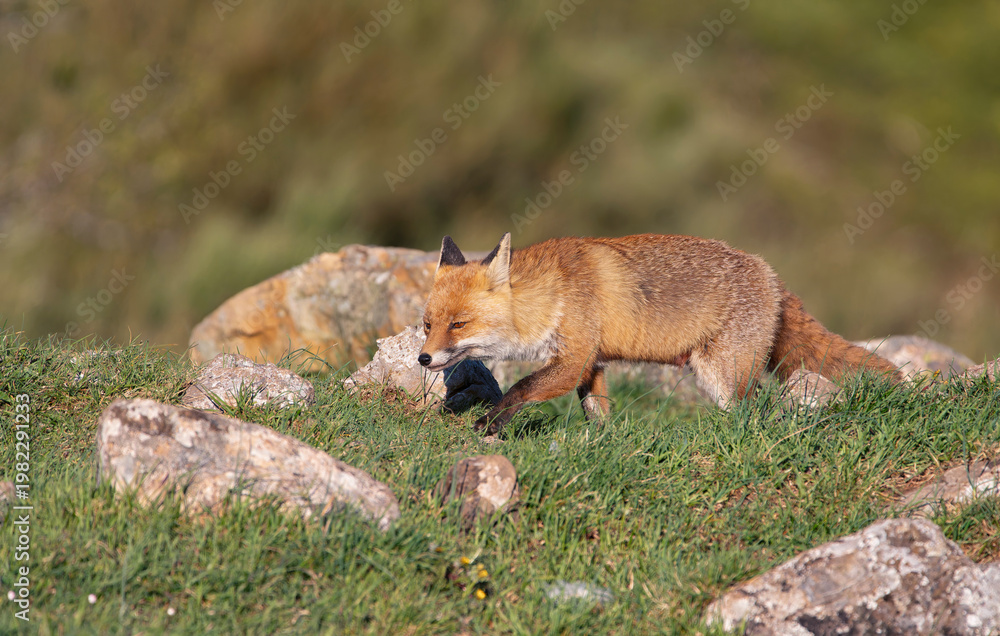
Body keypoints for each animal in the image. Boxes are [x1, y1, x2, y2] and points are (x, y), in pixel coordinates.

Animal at [417, 232, 901, 435]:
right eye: (428, 324)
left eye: (458, 324)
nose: (422, 358)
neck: (552, 294)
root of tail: (771, 275)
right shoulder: (590, 361)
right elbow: (597, 411)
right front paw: (602, 445)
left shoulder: (572, 360)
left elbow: (521, 387)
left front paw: (490, 424)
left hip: (721, 376)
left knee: (755, 414)